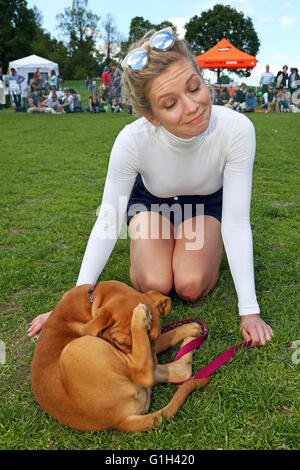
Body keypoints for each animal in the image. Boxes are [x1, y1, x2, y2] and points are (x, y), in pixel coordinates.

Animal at [29, 280, 209, 432]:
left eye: (154, 338)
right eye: (122, 344)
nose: (154, 361)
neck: (91, 299)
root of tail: (119, 420)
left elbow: (164, 337)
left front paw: (189, 328)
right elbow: (161, 339)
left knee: (179, 371)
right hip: (75, 348)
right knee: (144, 372)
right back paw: (140, 317)